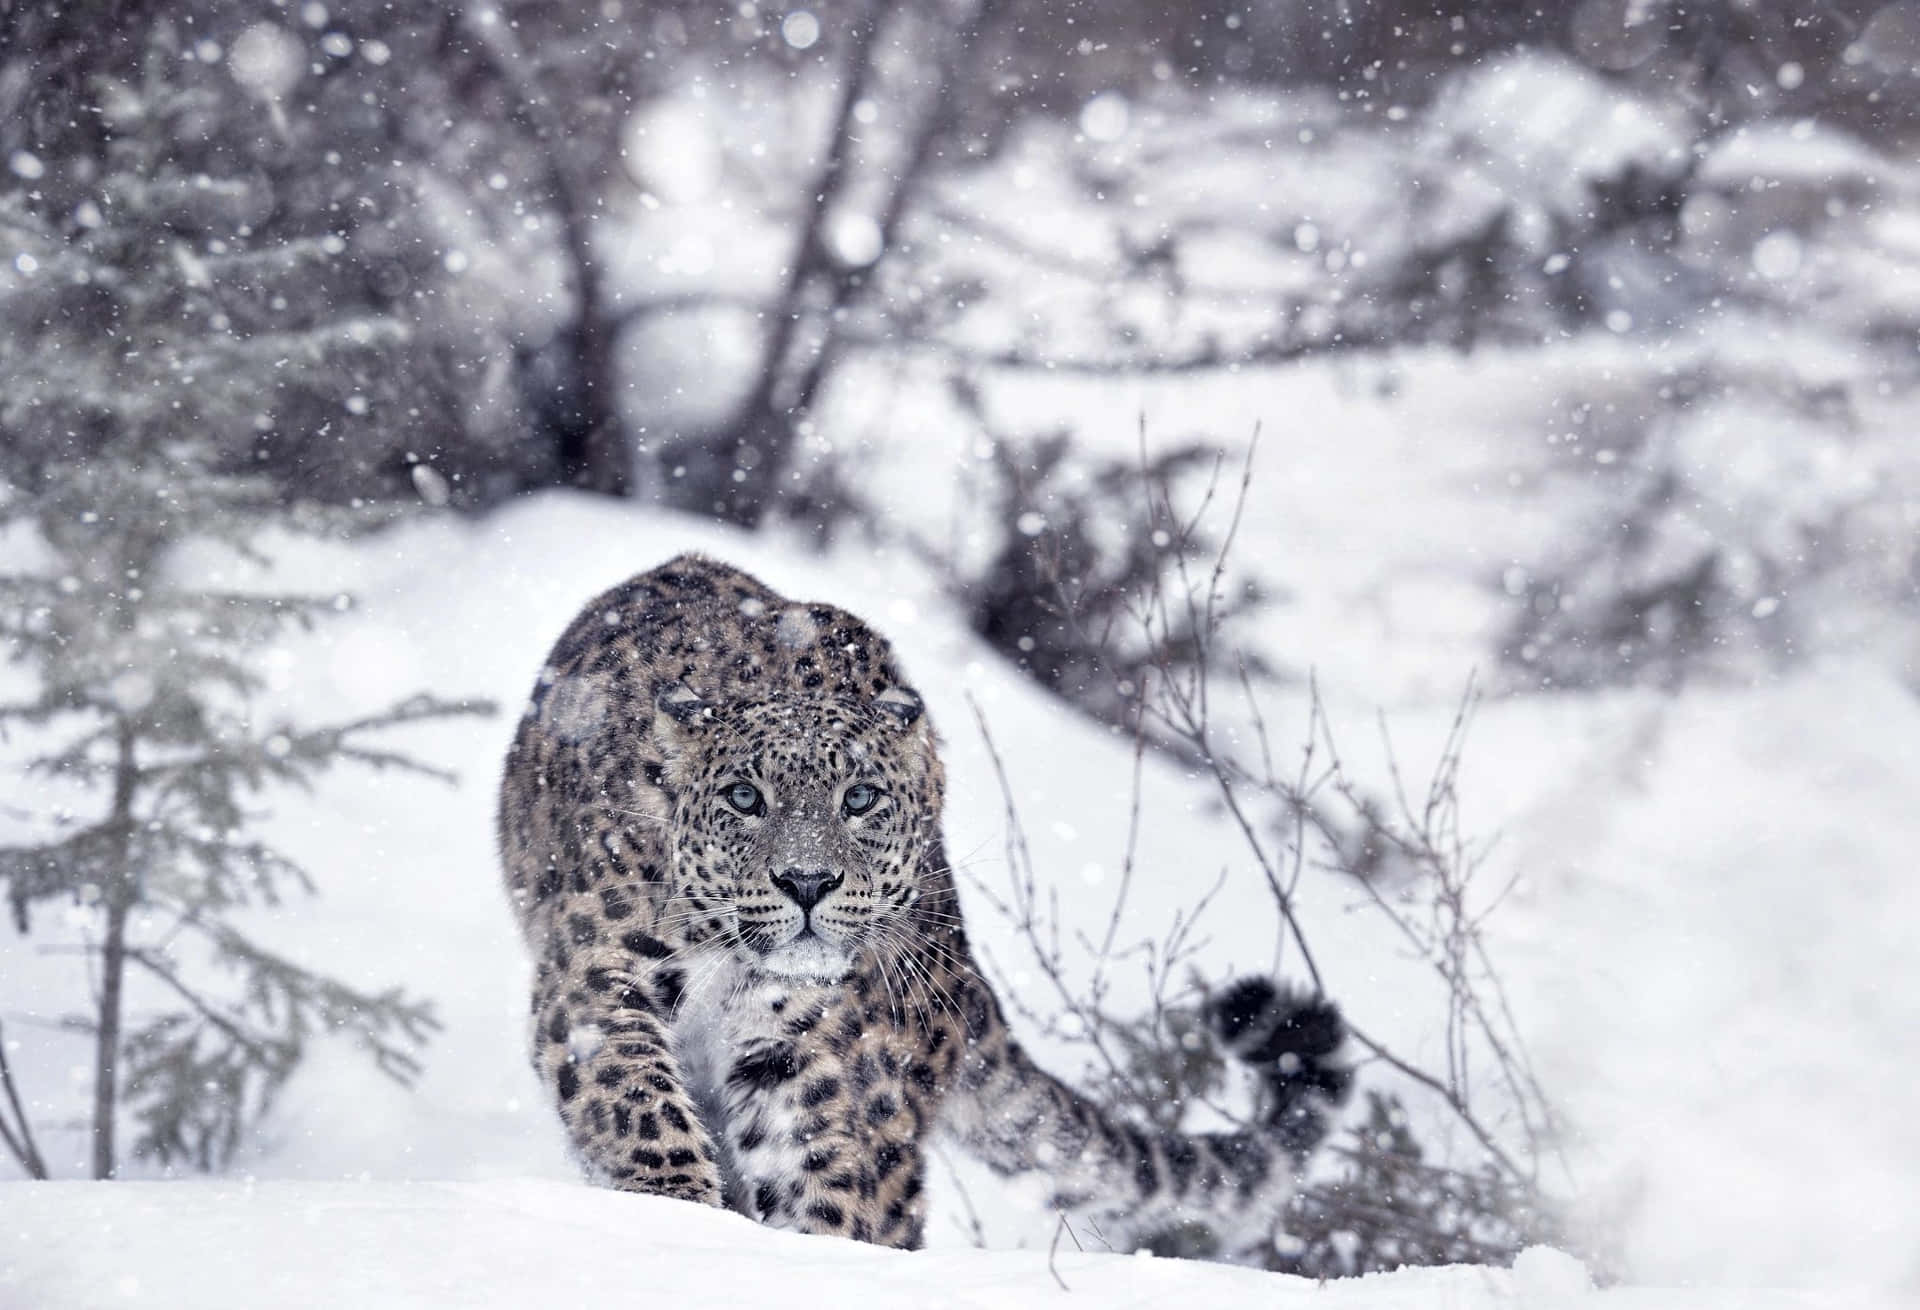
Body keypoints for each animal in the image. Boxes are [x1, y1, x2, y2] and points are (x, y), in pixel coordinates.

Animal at [497, 553, 1350, 1257]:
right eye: (744, 797)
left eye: (860, 798)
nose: (807, 883)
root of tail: (962, 969)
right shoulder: (598, 972)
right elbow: (633, 1096)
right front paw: (672, 1205)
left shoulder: (809, 1049)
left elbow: (825, 1173)